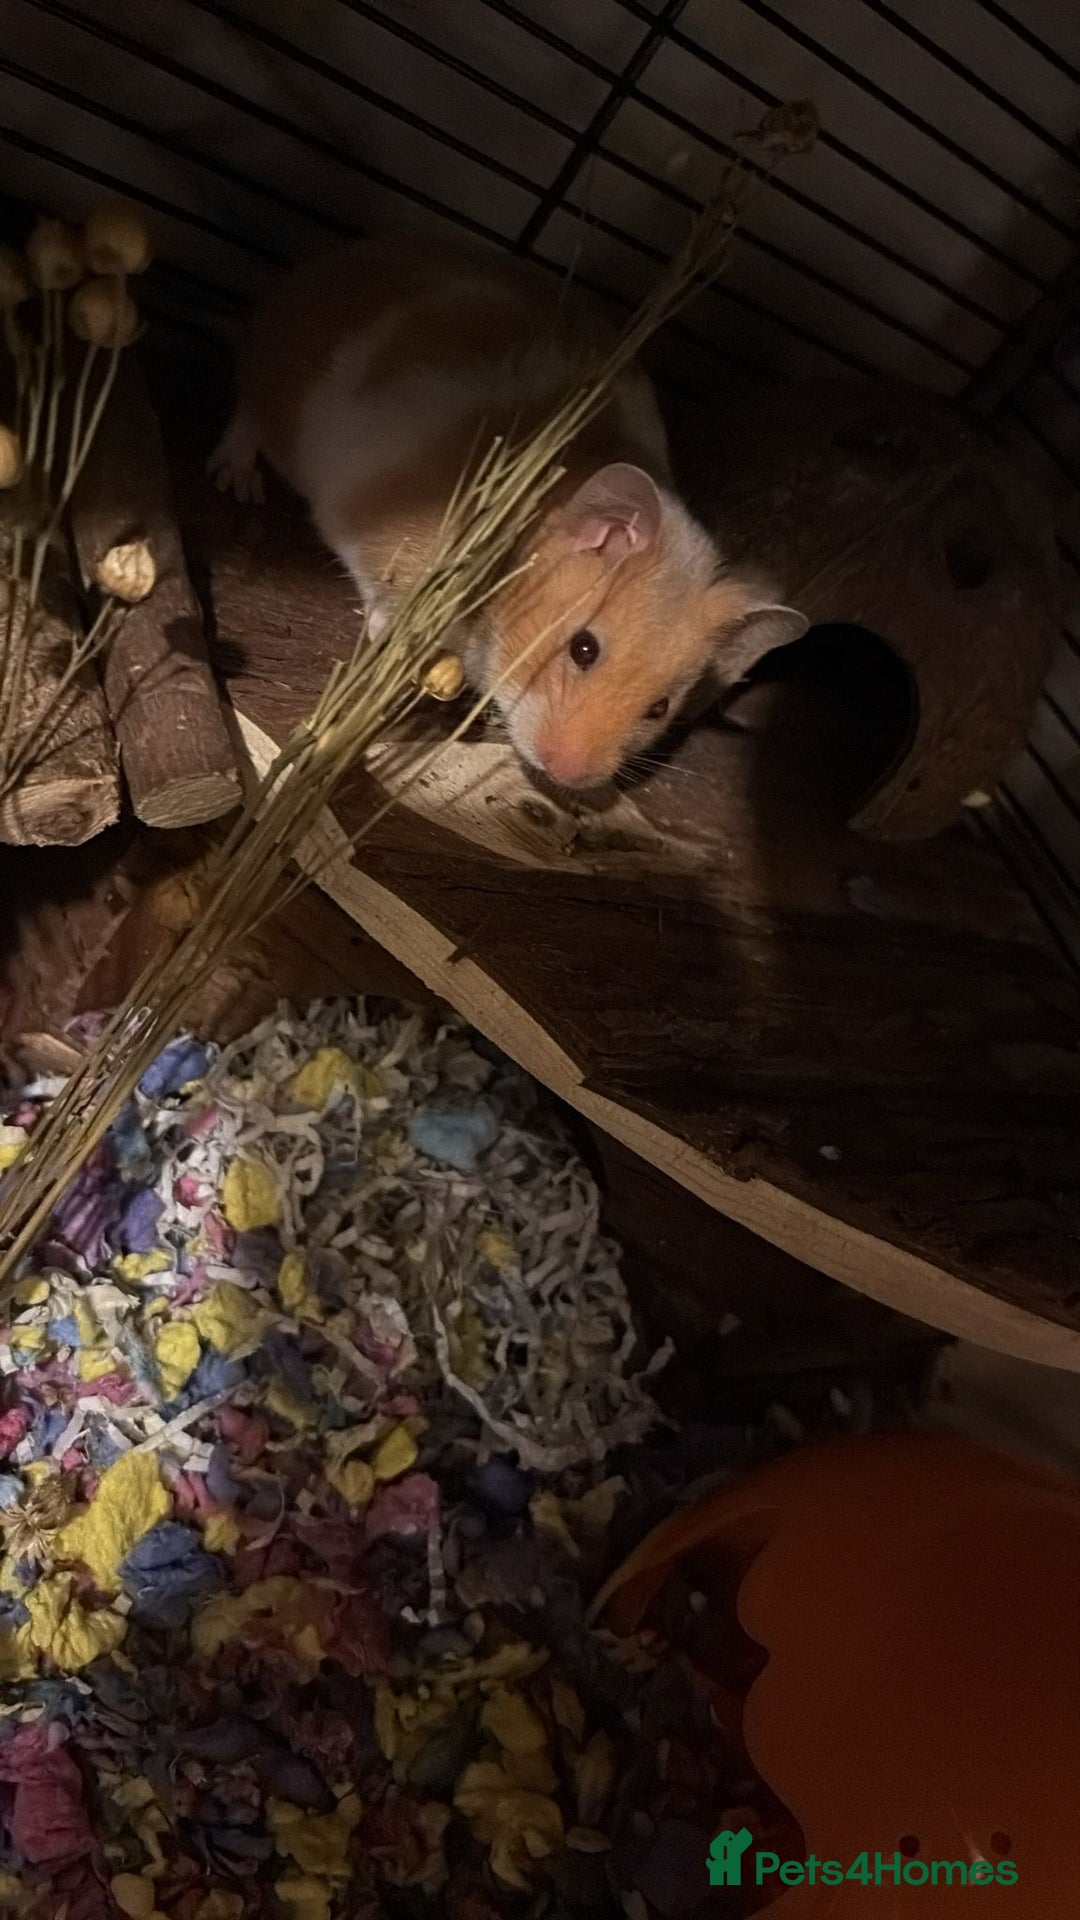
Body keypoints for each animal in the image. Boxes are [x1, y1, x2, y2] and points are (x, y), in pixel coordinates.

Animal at [212, 237, 807, 790]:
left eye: (659, 708)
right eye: (583, 648)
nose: (566, 775)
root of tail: (315, 267)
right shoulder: (387, 538)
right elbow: (384, 593)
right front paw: (390, 635)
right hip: (278, 391)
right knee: (245, 411)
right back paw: (237, 480)